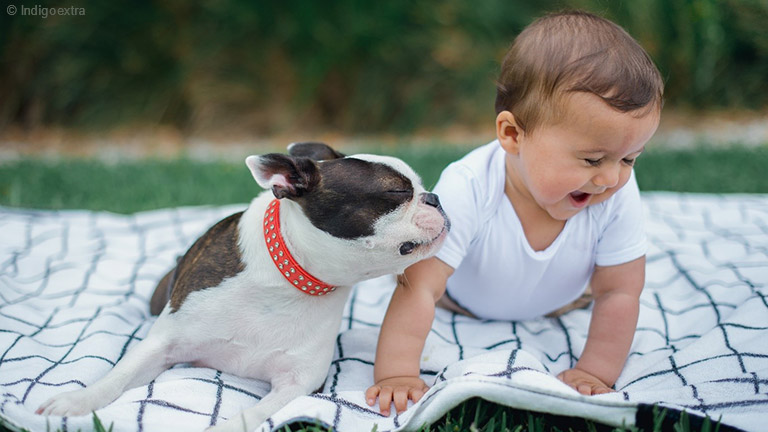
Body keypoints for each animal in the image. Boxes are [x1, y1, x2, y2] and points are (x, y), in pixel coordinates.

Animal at [36, 143, 450, 430]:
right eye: (396, 193)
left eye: (422, 188)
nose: (435, 197)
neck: (291, 277)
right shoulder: (164, 343)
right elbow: (119, 375)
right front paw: (75, 401)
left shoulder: (298, 383)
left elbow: (256, 413)